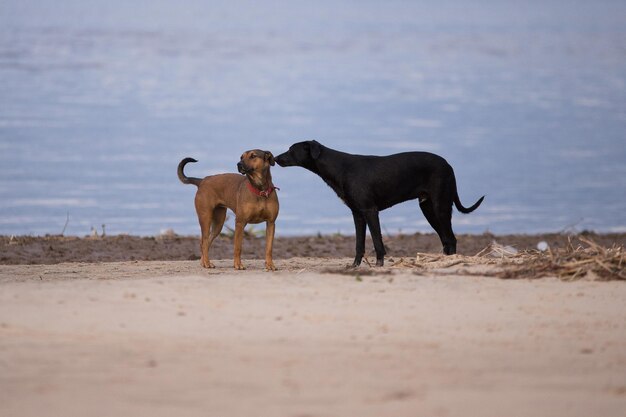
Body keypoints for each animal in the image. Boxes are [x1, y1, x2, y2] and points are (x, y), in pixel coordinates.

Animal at [274, 141, 482, 266]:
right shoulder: (357, 214)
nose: (275, 158)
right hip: (428, 207)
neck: (340, 167)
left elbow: (377, 242)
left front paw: (379, 266)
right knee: (446, 239)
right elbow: (359, 244)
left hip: (440, 206)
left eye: (291, 150)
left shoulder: (370, 211)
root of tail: (448, 165)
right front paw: (355, 266)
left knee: (451, 238)